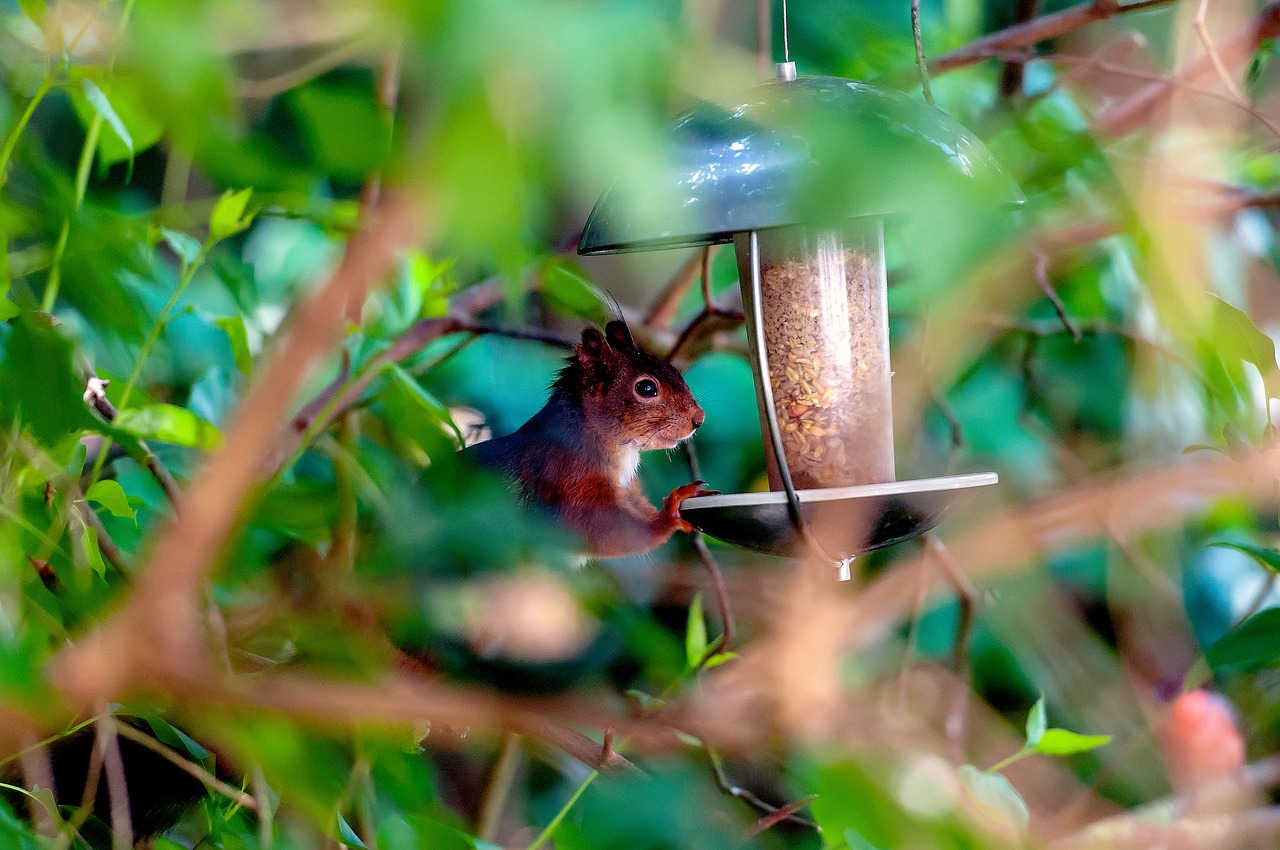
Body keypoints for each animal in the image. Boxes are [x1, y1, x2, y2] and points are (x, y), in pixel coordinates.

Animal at [465, 320, 711, 558]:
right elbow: (600, 528)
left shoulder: (628, 490)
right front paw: (669, 514)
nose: (699, 419)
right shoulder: (566, 475)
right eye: (646, 388)